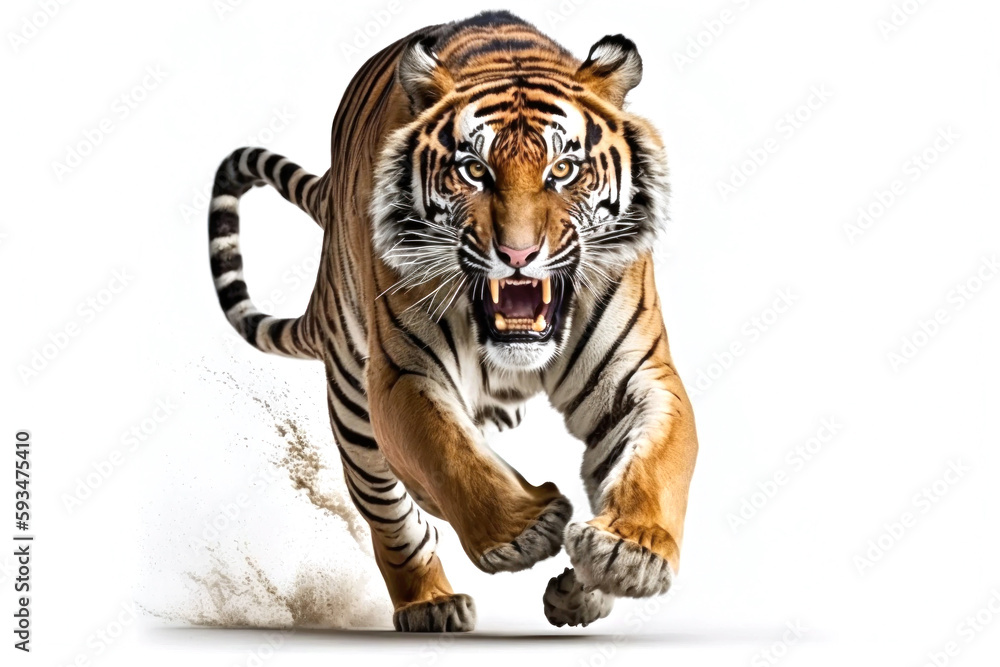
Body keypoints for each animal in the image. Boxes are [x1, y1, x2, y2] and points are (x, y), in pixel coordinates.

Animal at [207, 10, 698, 632]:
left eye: (563, 169)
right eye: (473, 170)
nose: (518, 254)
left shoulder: (635, 376)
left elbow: (658, 459)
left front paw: (628, 555)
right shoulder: (402, 373)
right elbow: (448, 453)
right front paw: (526, 530)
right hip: (352, 400)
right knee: (391, 515)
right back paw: (430, 603)